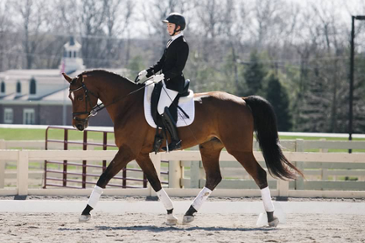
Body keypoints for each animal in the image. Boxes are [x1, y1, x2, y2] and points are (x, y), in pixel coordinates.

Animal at [61, 69, 302, 227]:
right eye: (70, 96)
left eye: (80, 95)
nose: (78, 125)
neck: (127, 104)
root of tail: (242, 100)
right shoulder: (140, 153)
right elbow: (155, 182)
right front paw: (170, 214)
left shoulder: (128, 151)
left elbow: (105, 176)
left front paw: (85, 212)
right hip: (210, 147)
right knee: (213, 178)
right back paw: (189, 213)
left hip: (239, 149)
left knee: (259, 174)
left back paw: (271, 217)